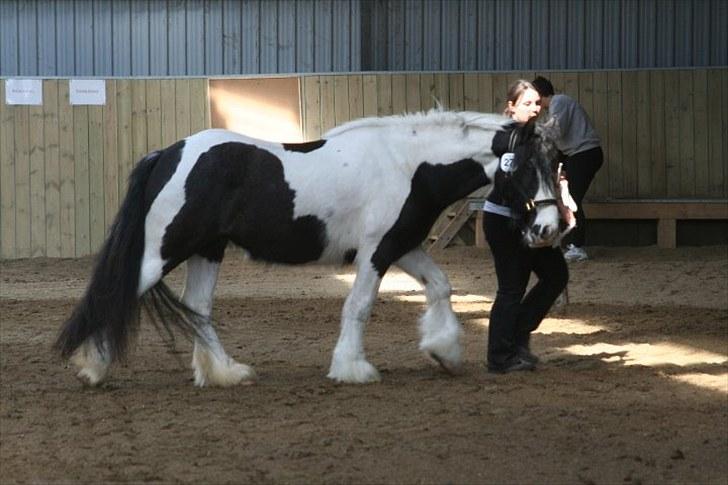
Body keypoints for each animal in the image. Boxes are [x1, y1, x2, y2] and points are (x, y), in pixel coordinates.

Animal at [55, 108, 564, 386]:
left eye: (556, 162)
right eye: (523, 168)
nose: (548, 228)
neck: (409, 165)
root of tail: (169, 152)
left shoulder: (401, 245)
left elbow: (441, 287)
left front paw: (443, 352)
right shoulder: (377, 251)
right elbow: (358, 307)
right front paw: (352, 367)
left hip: (208, 250)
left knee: (198, 309)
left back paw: (225, 373)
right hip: (165, 249)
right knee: (120, 292)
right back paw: (92, 369)